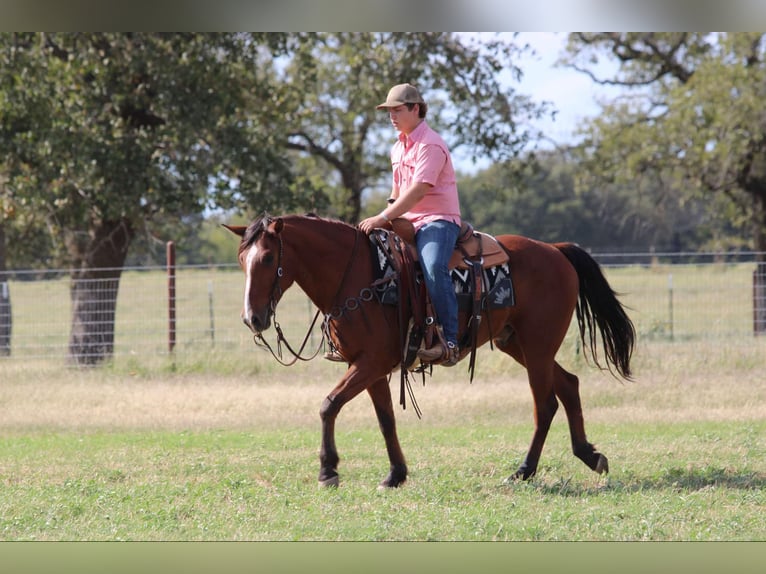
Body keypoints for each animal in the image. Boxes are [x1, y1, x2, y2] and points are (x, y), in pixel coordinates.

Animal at [225, 213, 635, 488]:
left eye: (267, 258)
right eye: (242, 260)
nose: (252, 318)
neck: (359, 275)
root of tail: (556, 251)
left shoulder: (371, 362)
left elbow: (328, 405)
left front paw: (328, 471)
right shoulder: (369, 365)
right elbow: (385, 419)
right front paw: (395, 474)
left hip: (537, 346)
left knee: (546, 402)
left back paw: (524, 470)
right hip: (517, 343)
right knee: (568, 384)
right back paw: (589, 455)